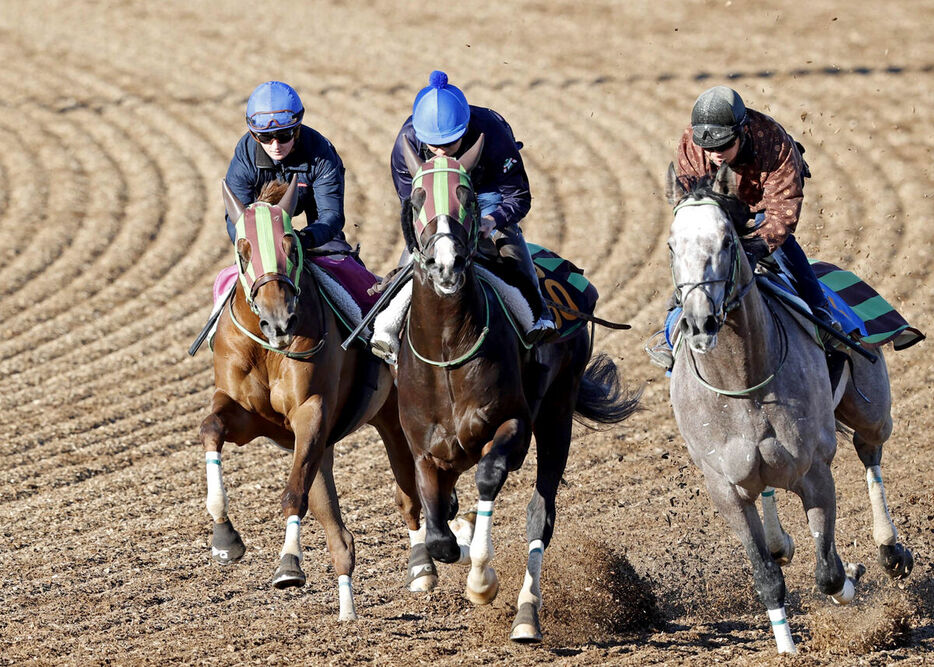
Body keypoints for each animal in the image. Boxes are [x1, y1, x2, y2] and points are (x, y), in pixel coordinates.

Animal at [204, 176, 424, 620]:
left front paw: (289, 564)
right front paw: (224, 537)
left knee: (410, 496)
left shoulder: (312, 411)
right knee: (340, 534)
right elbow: (211, 428)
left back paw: (425, 568)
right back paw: (347, 611)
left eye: (291, 246)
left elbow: (293, 493)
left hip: (392, 420)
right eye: (243, 252)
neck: (269, 349)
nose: (279, 322)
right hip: (324, 448)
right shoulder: (247, 414)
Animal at [394, 136, 644, 640]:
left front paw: (482, 580)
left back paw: (527, 614)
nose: (446, 265)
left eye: (470, 198)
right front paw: (455, 540)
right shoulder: (425, 450)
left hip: (557, 416)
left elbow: (489, 479)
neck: (448, 347)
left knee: (540, 515)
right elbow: (439, 532)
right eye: (417, 198)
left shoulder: (514, 424)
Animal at [664, 164, 916, 656]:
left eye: (727, 241)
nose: (700, 322)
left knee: (870, 454)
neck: (741, 383)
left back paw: (890, 551)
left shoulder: (814, 470)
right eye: (672, 245)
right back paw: (782, 541)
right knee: (770, 498)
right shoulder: (723, 487)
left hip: (872, 411)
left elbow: (829, 573)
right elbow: (766, 576)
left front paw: (852, 577)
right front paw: (785, 647)